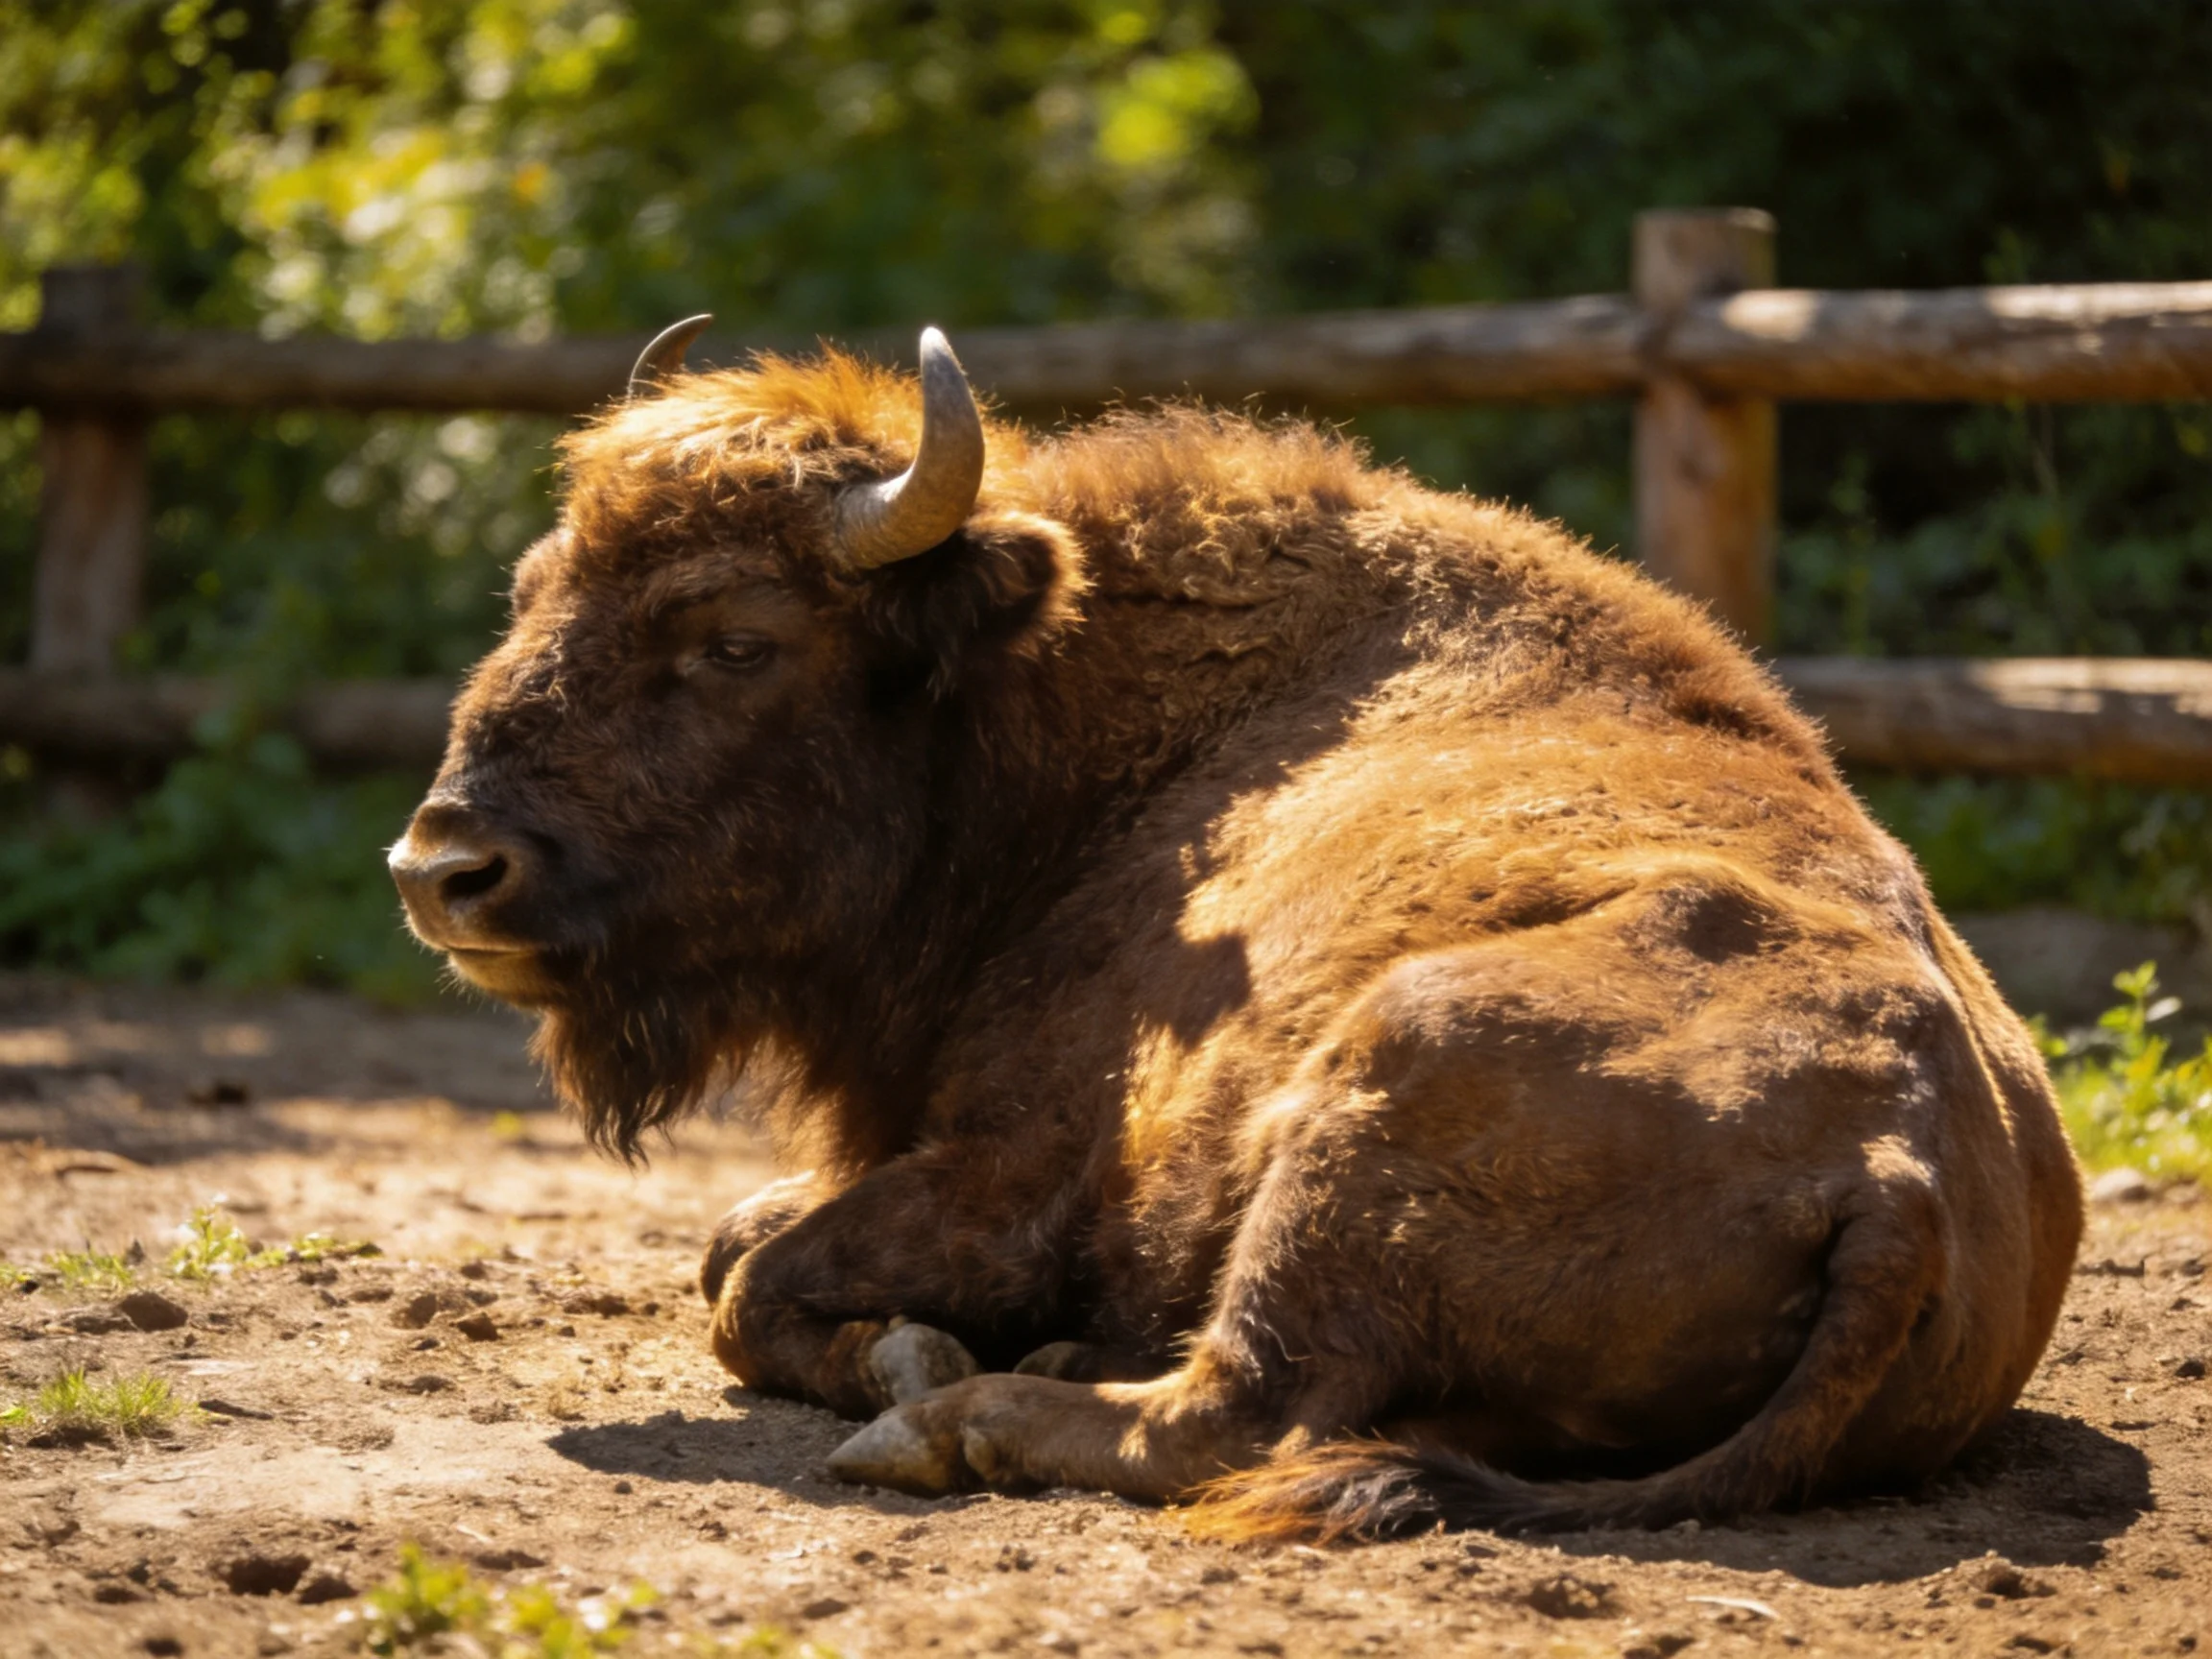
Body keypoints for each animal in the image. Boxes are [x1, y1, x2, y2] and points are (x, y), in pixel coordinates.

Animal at [390, 322, 2081, 1538]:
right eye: (532, 589)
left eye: (736, 639)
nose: (442, 867)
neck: (1061, 718)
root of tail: (1899, 1174)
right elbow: (730, 1249)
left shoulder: (1013, 1179)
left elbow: (751, 1289)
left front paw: (918, 1355)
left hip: (1379, 1088)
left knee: (1226, 1417)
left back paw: (965, 1411)